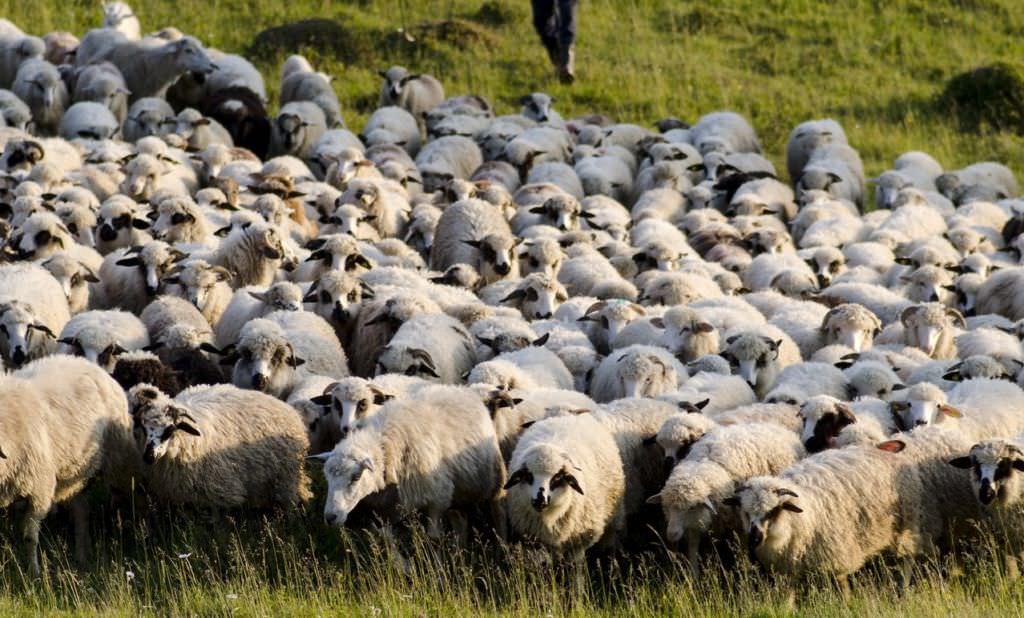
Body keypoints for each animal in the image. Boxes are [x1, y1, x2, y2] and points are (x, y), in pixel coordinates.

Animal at [0, 358, 134, 572]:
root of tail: (89, 363)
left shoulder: (39, 491)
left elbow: (30, 538)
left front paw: (34, 572)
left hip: (116, 461)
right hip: (74, 474)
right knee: (81, 511)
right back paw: (82, 556)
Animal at [313, 384, 501, 540]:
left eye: (356, 477)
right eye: (328, 479)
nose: (330, 517)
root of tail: (459, 388)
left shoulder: (438, 499)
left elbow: (434, 538)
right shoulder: (383, 511)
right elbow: (388, 542)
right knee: (459, 520)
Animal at [501, 413, 622, 556]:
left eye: (557, 477)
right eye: (528, 476)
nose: (539, 500)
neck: (548, 518)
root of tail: (565, 416)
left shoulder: (578, 544)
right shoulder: (533, 543)